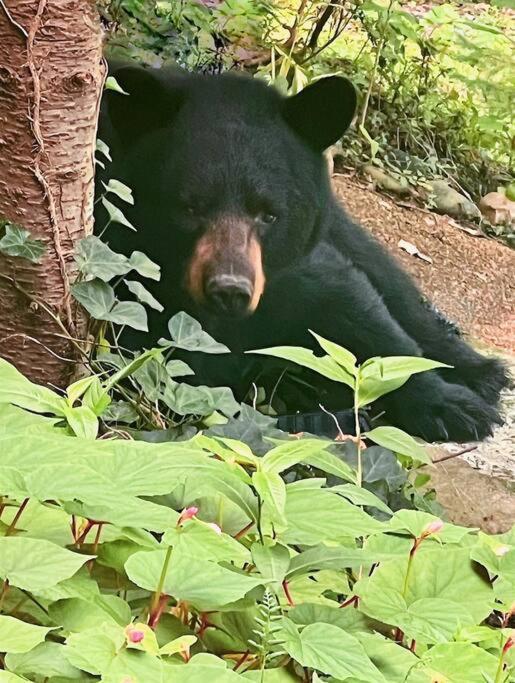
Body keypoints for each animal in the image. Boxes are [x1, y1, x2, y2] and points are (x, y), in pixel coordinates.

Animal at [94, 62, 510, 444]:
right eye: (190, 208)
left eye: (269, 213)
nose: (229, 290)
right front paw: (316, 418)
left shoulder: (288, 266)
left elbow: (354, 305)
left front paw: (455, 408)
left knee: (391, 284)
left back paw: (482, 372)